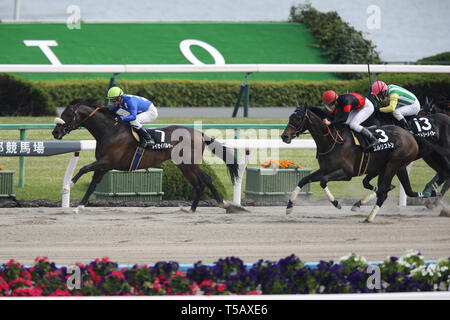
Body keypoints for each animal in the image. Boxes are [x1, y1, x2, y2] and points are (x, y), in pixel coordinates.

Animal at [52, 97, 243, 212]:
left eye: (67, 114)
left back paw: (199, 208)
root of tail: (198, 133)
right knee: (207, 180)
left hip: (188, 164)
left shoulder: (108, 162)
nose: (55, 133)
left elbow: (84, 168)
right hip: (188, 165)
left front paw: (68, 185)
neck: (111, 131)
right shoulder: (103, 165)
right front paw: (79, 207)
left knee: (200, 184)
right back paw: (219, 205)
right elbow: (92, 185)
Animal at [282, 104, 426, 222]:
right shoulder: (325, 169)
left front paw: (336, 203)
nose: (284, 136)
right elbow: (304, 180)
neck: (333, 140)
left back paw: (369, 217)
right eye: (290, 117)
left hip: (392, 166)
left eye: (298, 118)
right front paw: (289, 205)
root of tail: (410, 136)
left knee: (383, 193)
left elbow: (323, 181)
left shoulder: (346, 173)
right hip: (392, 167)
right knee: (396, 189)